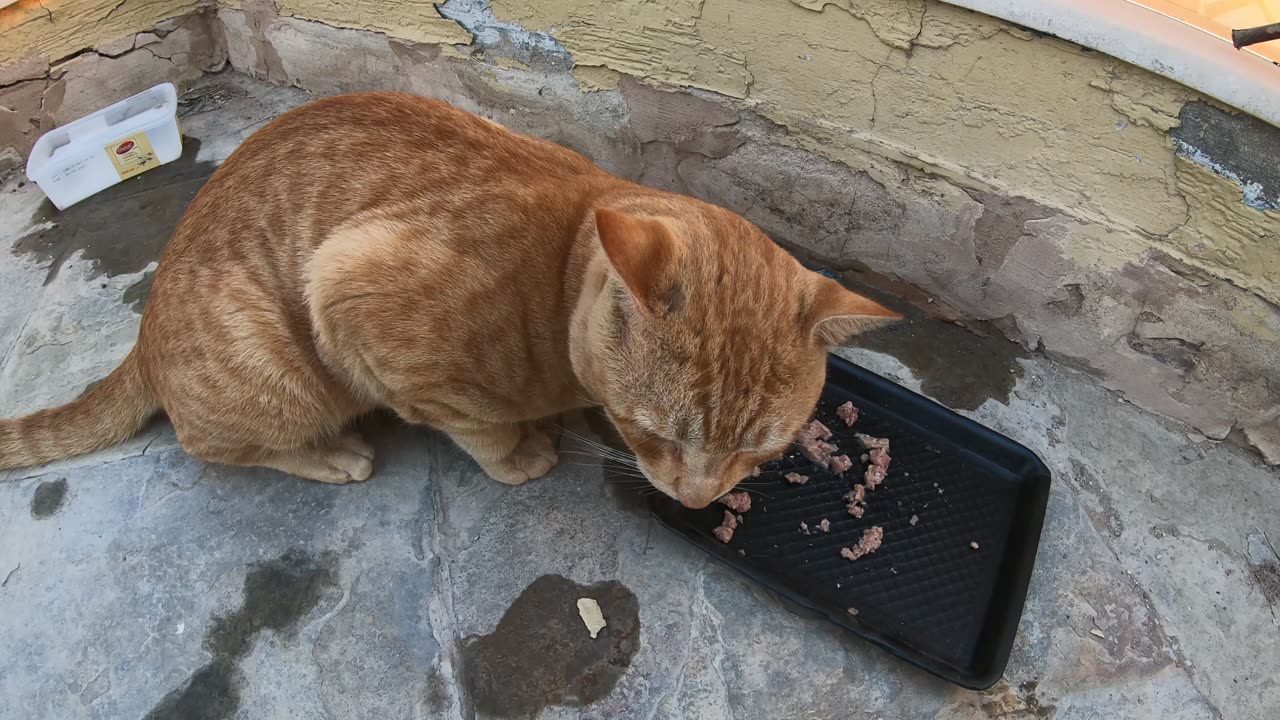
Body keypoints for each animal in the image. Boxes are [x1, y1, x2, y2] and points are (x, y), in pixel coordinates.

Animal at [0, 92, 896, 507]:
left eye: (761, 450)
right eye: (652, 434)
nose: (700, 498)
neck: (555, 281)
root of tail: (144, 332)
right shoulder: (350, 286)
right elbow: (473, 425)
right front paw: (521, 450)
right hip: (270, 365)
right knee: (210, 442)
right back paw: (329, 452)